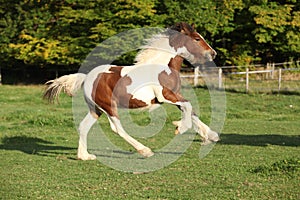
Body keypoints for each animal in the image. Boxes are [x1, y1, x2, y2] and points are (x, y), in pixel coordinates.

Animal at [43, 21, 219, 160]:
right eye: (197, 38)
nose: (213, 53)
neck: (161, 67)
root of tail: (86, 78)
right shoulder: (166, 96)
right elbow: (189, 106)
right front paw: (180, 127)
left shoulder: (175, 96)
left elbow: (191, 111)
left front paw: (211, 136)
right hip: (109, 107)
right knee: (117, 129)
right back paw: (145, 151)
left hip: (96, 109)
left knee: (83, 126)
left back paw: (84, 156)